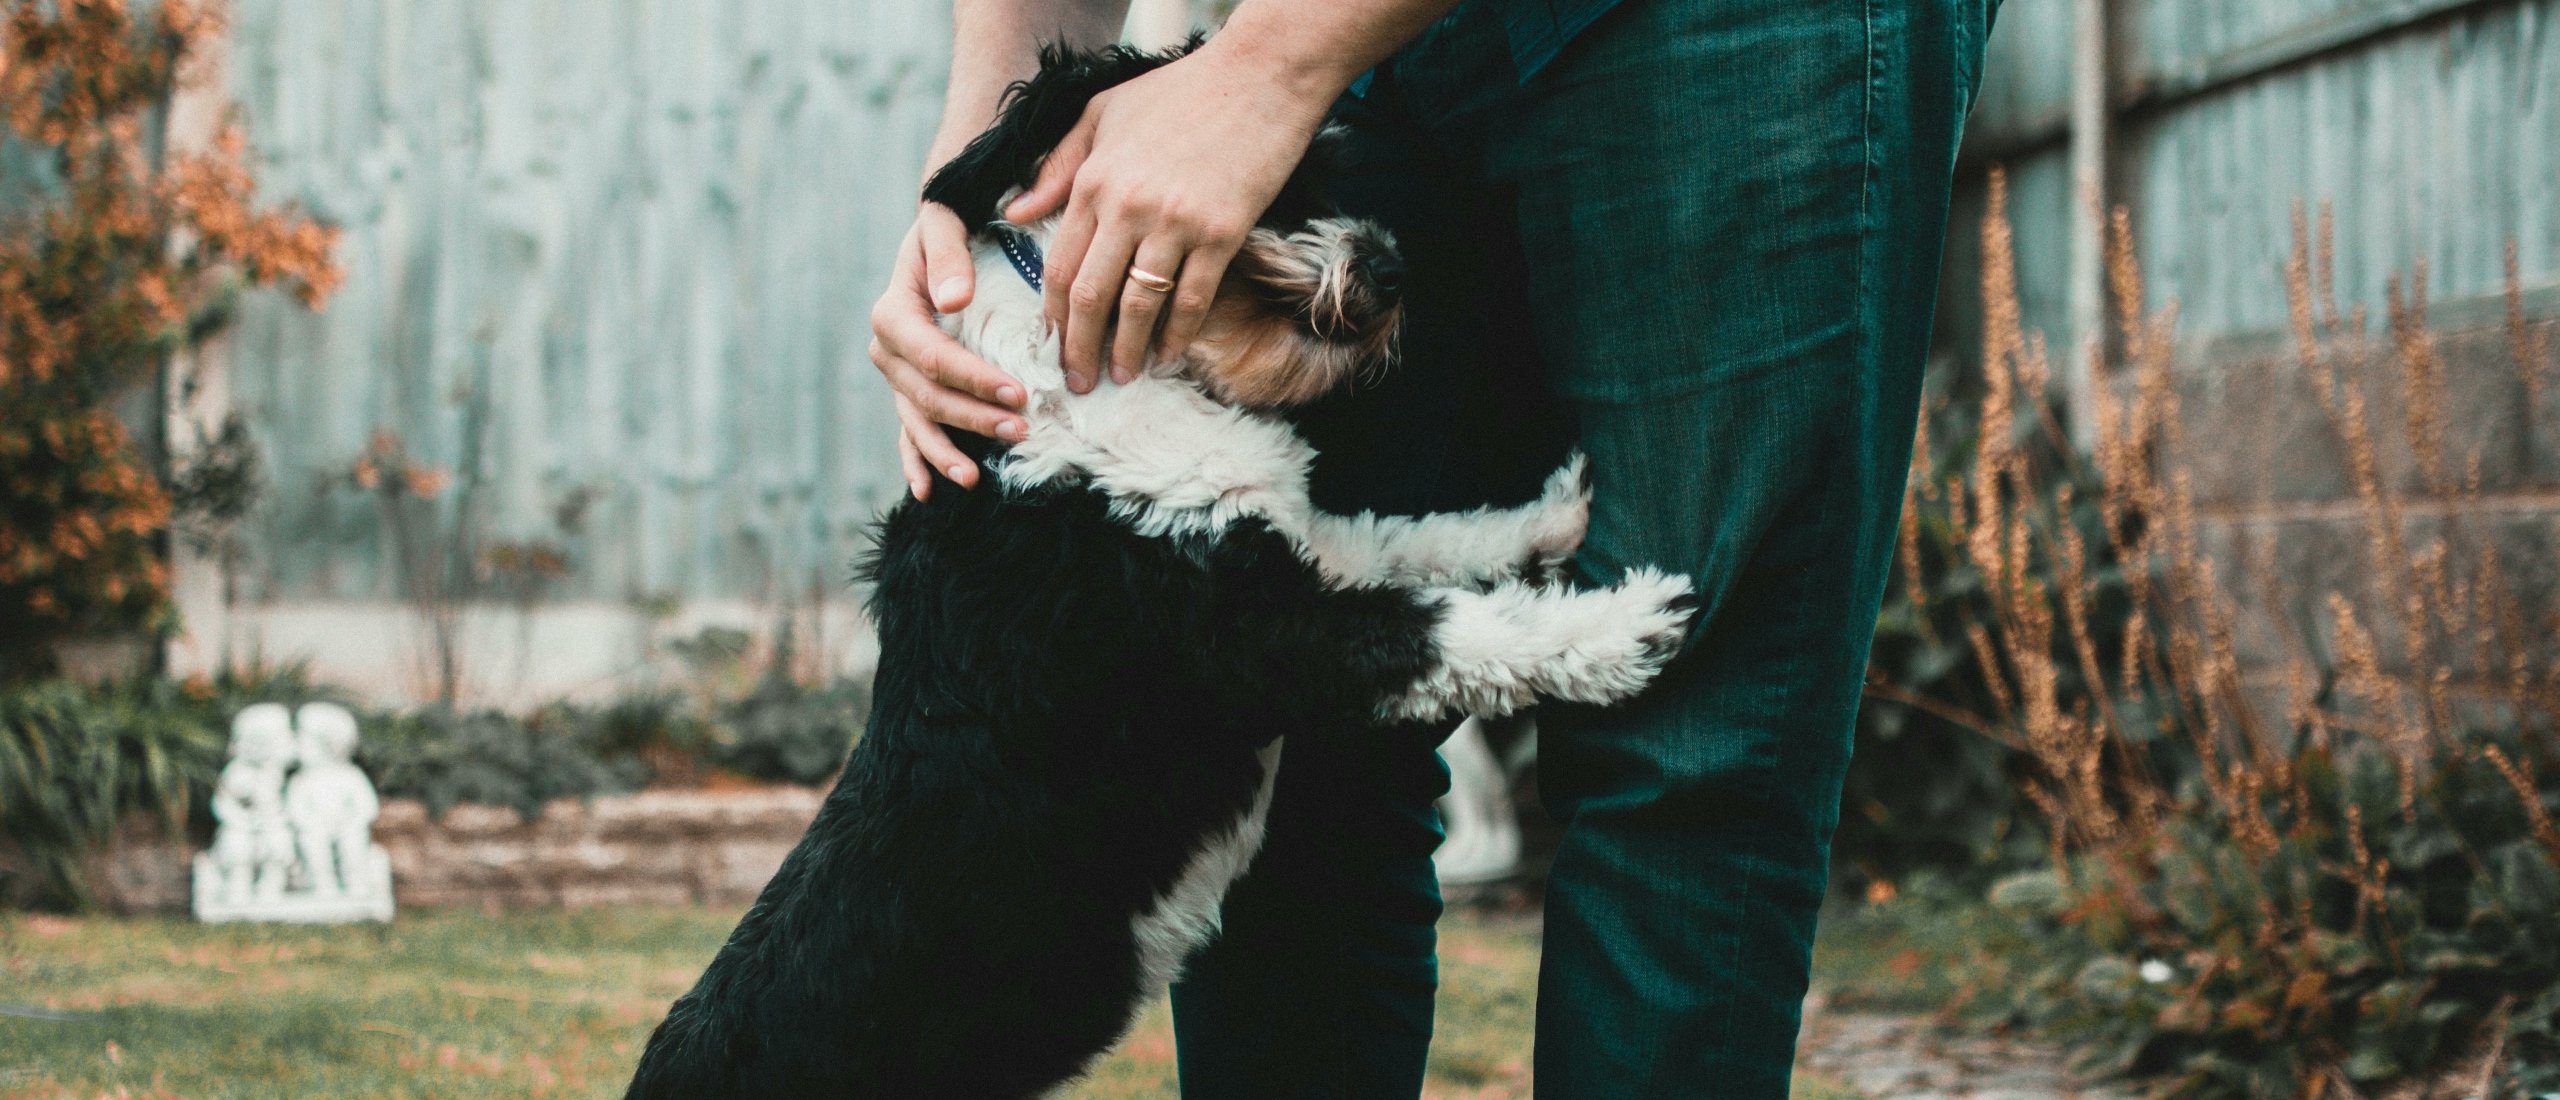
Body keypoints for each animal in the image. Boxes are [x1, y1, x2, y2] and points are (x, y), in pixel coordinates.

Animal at [629, 42, 1689, 1100]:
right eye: (1278, 177)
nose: (1392, 272)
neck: (1087, 361)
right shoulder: (1260, 633)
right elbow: (1450, 630)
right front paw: (1626, 627)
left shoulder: (1300, 546)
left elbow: (1419, 541)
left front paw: (1554, 515)